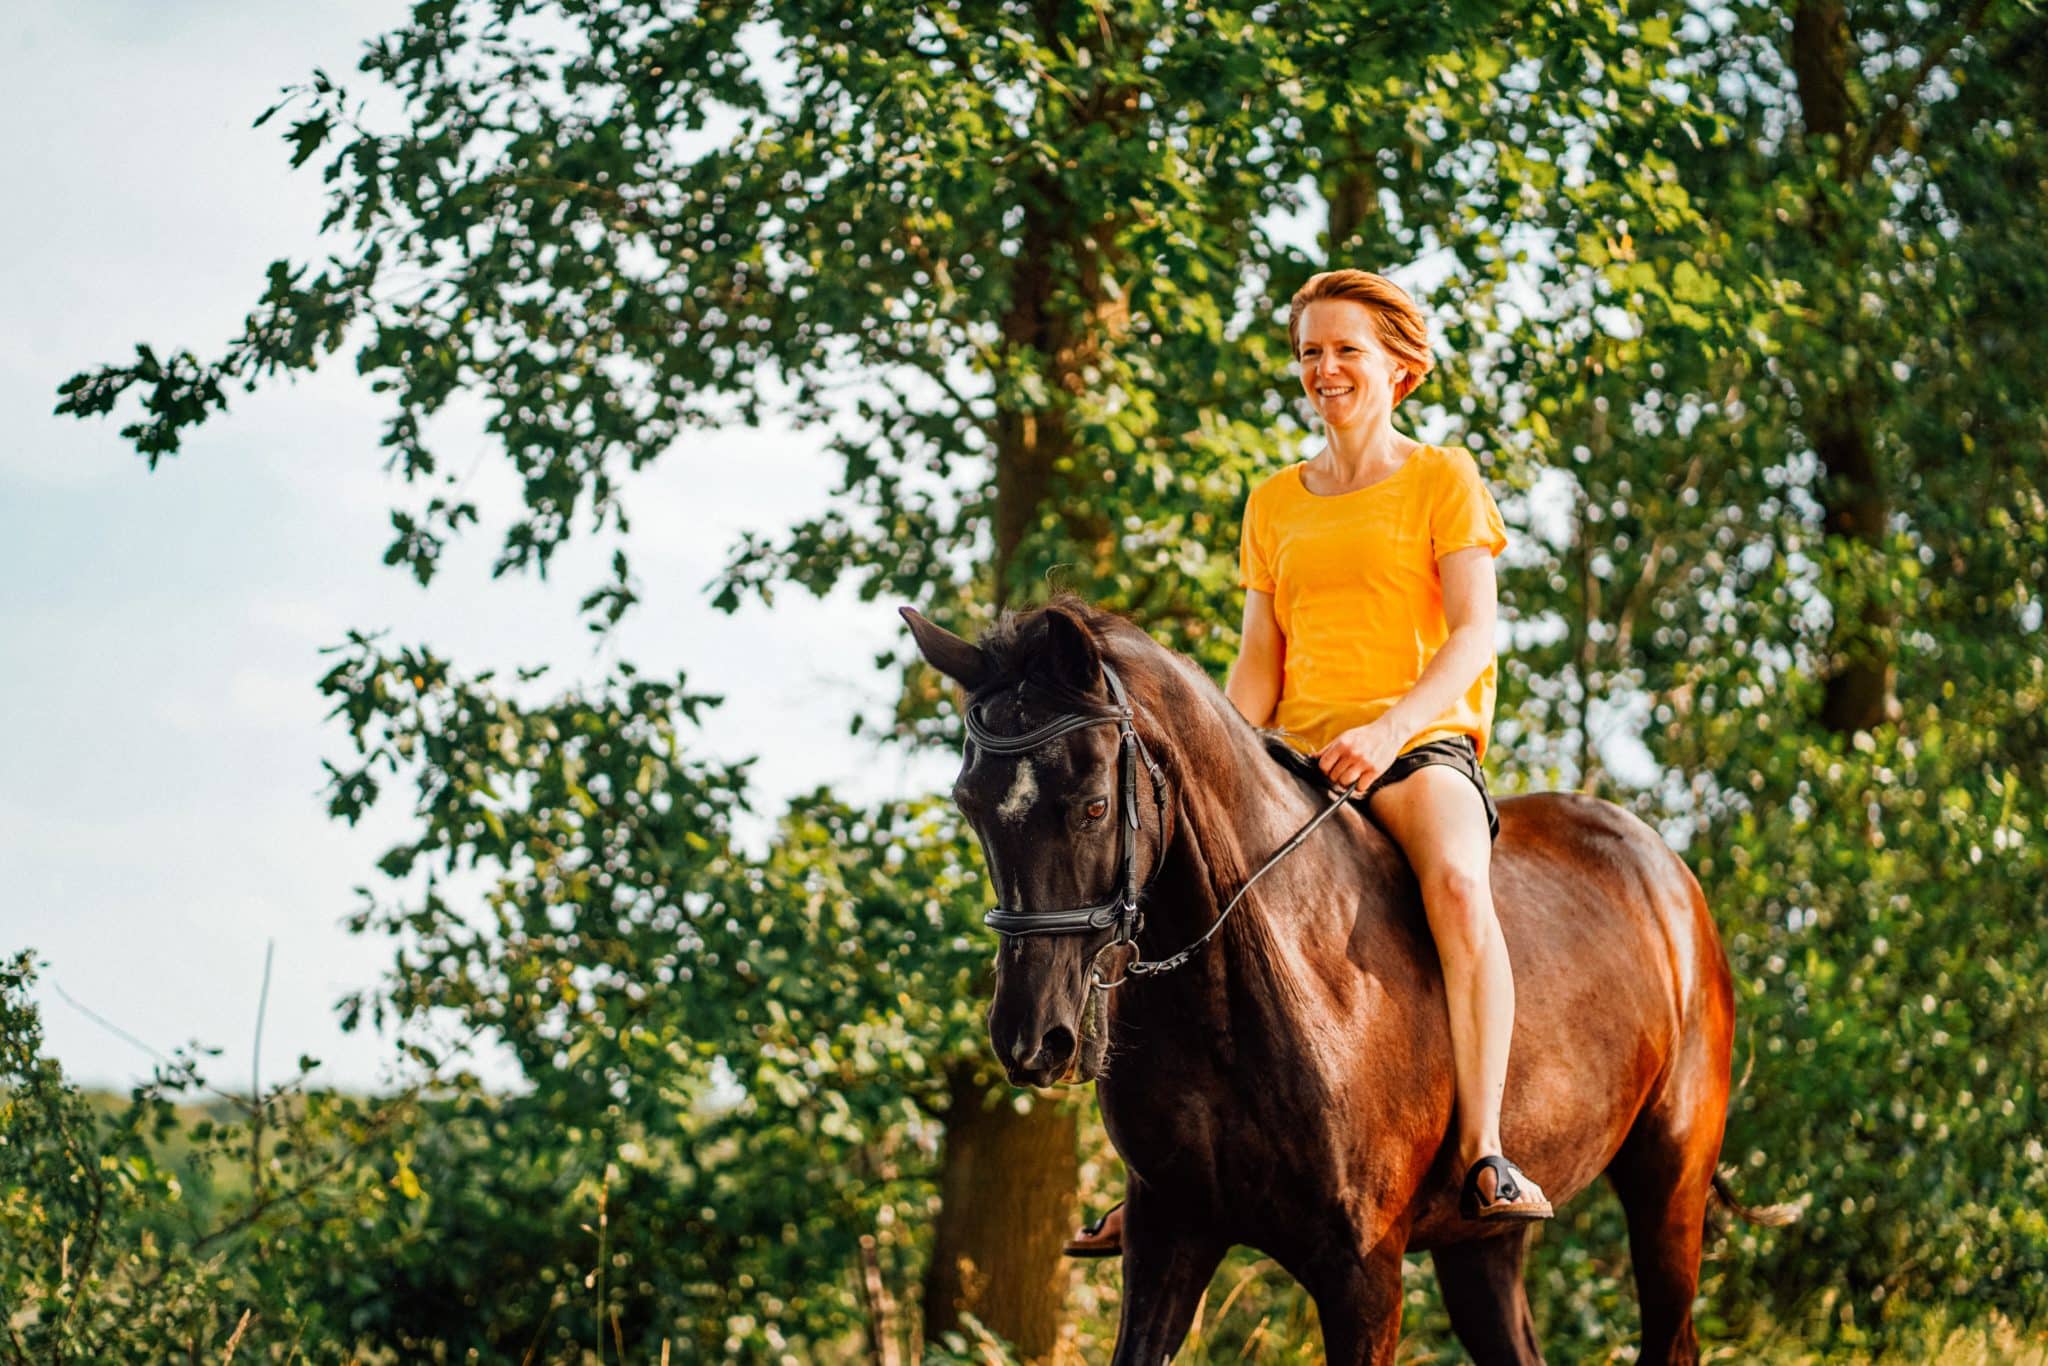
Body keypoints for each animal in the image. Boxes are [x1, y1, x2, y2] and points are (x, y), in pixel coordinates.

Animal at [902, 596, 1791, 1365]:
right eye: (970, 805)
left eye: (1091, 805)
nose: (1031, 1040)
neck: (1245, 995)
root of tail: (1665, 870)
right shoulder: (1167, 1235)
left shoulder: (1363, 1271)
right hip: (1482, 1244)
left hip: (1670, 1184)